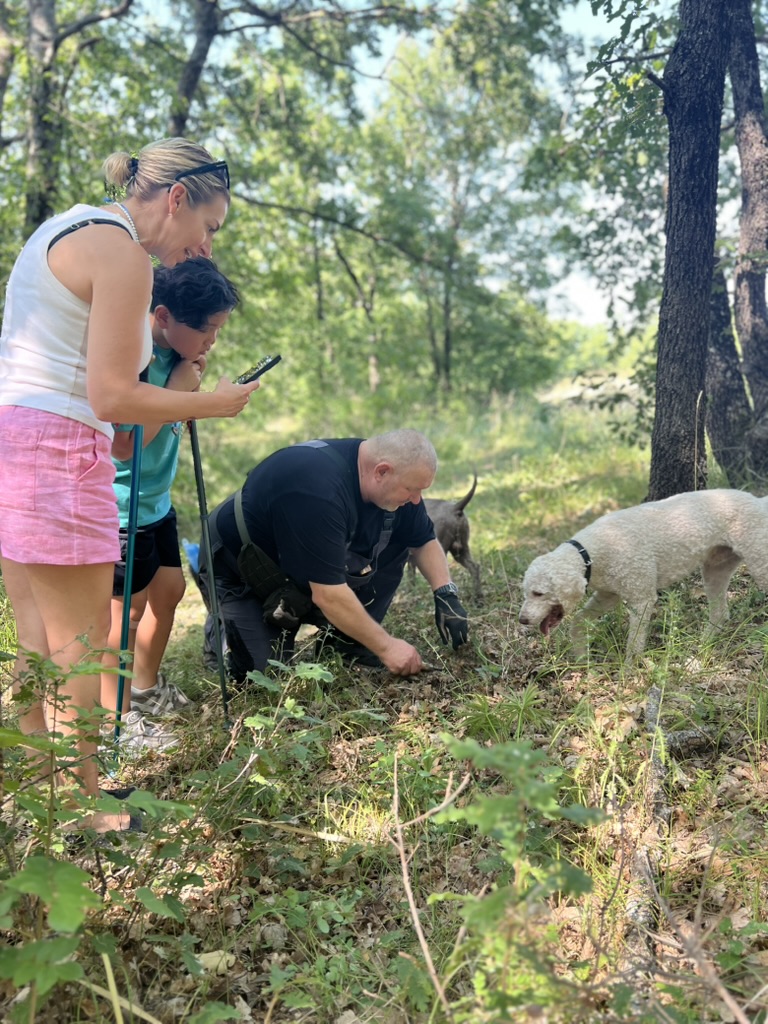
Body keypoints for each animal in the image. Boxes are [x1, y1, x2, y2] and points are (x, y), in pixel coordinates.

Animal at [518, 489, 768, 660]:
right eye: (525, 593)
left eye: (538, 593)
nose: (522, 620)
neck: (590, 553)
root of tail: (759, 501)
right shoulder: (608, 595)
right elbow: (579, 621)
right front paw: (581, 656)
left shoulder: (642, 599)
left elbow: (634, 643)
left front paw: (630, 671)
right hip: (716, 570)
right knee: (720, 614)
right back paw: (701, 647)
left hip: (759, 563)